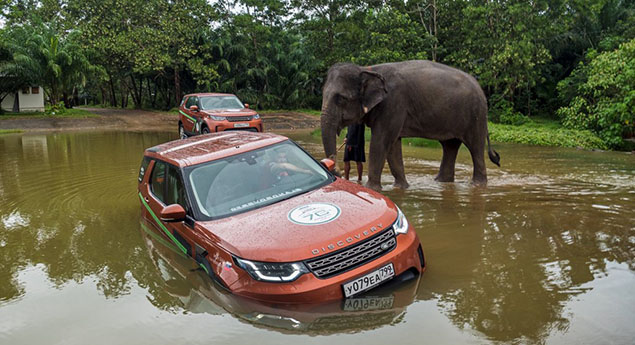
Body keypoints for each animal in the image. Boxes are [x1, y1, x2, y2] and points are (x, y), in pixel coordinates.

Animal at [322, 61, 502, 191]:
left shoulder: (393, 104)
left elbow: (380, 142)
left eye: (341, 98)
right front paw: (401, 187)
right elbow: (393, 146)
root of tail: (480, 88)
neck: (367, 68)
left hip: (475, 116)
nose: (336, 170)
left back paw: (476, 185)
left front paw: (372, 189)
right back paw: (441, 182)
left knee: (475, 148)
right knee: (450, 146)